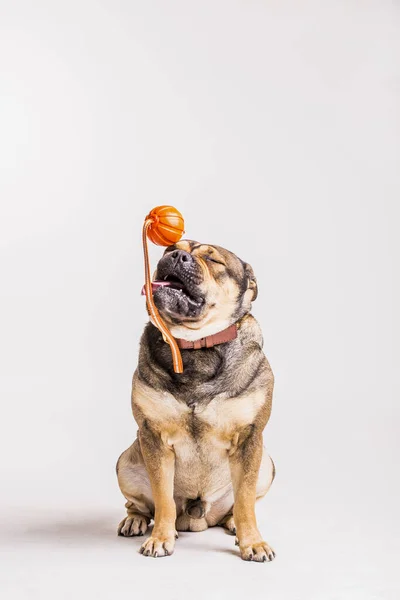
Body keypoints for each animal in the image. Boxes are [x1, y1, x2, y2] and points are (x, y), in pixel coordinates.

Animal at [116, 239, 276, 564]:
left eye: (213, 261)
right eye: (169, 249)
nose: (177, 255)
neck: (194, 345)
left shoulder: (250, 439)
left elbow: (245, 499)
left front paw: (252, 542)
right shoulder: (153, 437)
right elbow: (163, 498)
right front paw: (160, 539)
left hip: (267, 464)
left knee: (241, 502)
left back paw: (232, 522)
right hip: (125, 461)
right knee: (139, 504)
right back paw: (135, 520)